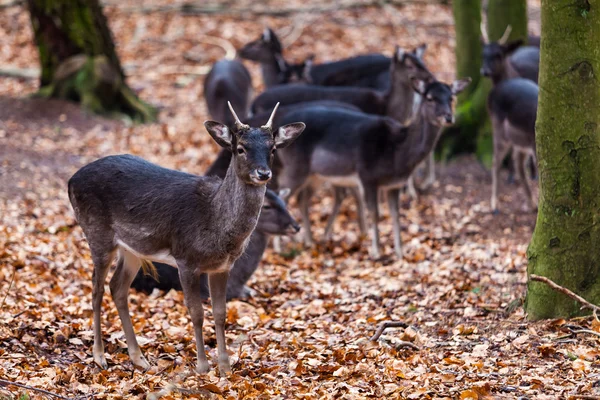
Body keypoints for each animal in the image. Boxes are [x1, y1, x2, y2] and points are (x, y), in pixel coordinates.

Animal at [270, 77, 468, 260]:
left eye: (451, 97)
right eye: (429, 98)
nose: (448, 117)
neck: (397, 153)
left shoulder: (395, 184)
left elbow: (396, 215)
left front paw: (400, 253)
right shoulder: (368, 176)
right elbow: (375, 213)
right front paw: (376, 252)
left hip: (315, 175)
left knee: (302, 199)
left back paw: (309, 241)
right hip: (295, 168)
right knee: (283, 196)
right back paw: (280, 247)